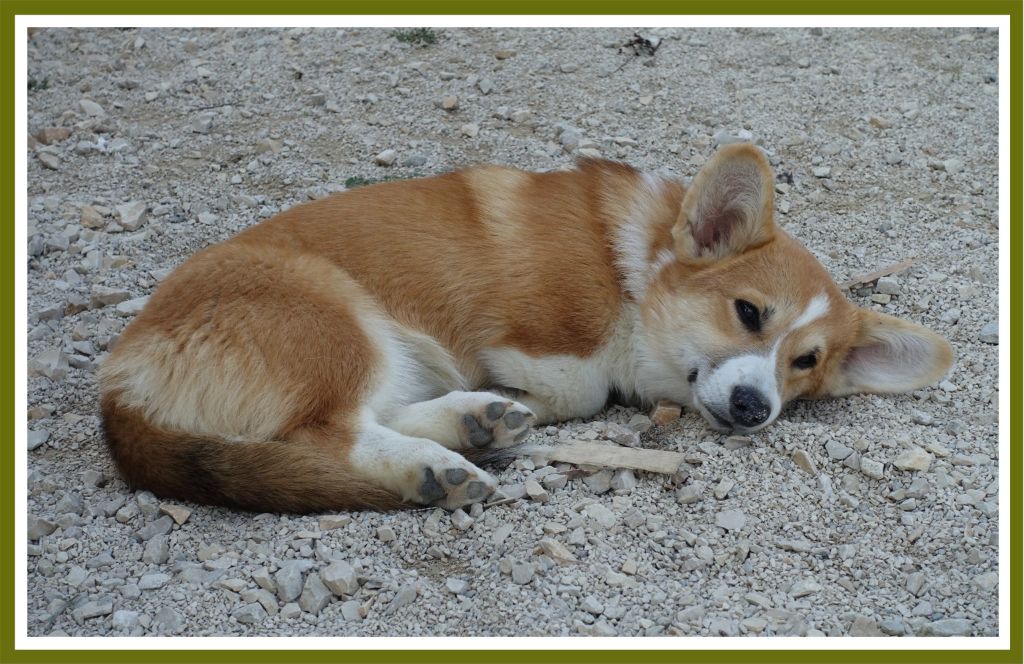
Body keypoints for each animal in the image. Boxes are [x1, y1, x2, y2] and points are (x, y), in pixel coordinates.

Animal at [99, 142, 954, 510]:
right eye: (748, 313)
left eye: (804, 364)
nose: (754, 409)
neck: (633, 268)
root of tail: (119, 385)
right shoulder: (538, 329)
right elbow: (580, 388)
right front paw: (529, 395)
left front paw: (502, 407)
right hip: (341, 322)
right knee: (327, 433)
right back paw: (435, 464)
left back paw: (473, 423)